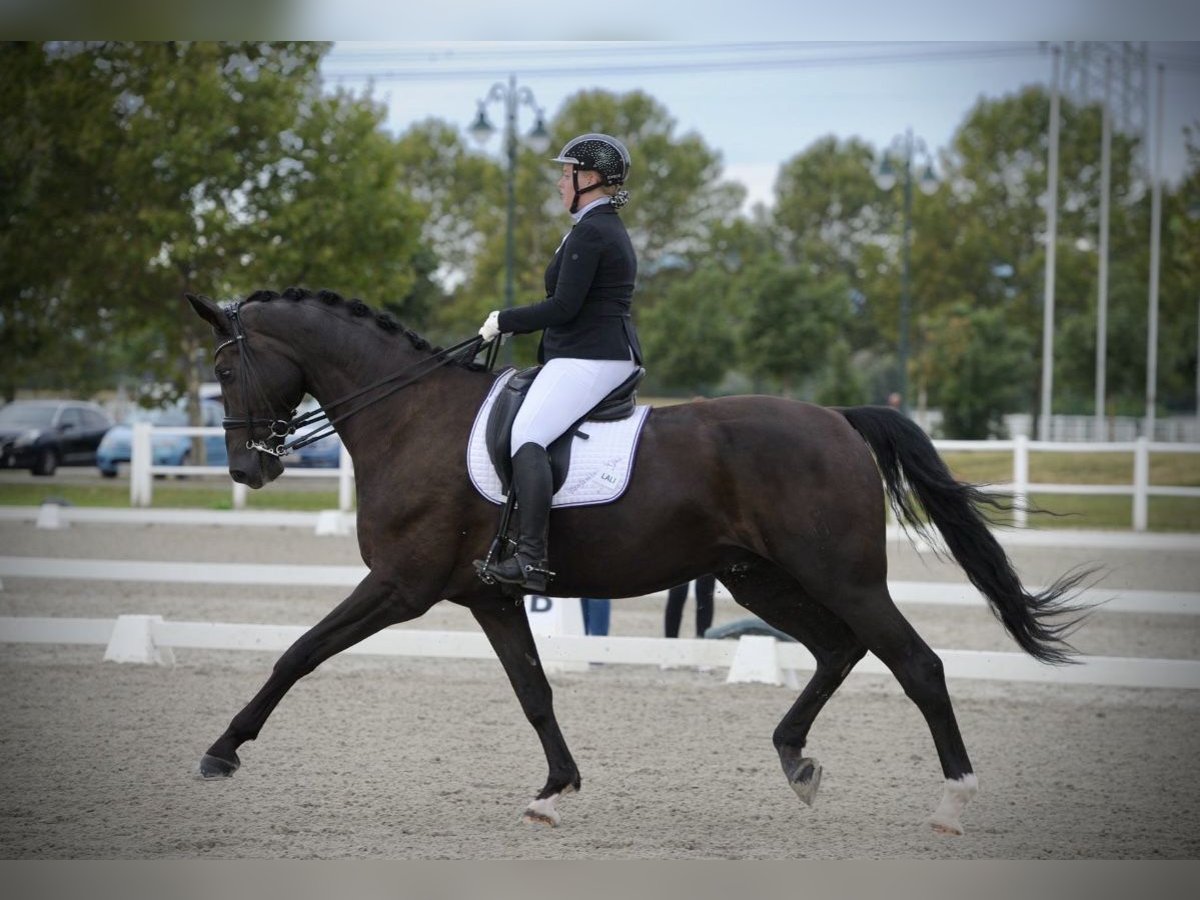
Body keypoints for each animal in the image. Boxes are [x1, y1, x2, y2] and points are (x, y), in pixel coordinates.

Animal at [184, 289, 1089, 840]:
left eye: (225, 368)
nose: (247, 471)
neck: (407, 417)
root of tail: (837, 417)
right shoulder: (488, 599)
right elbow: (535, 692)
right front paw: (554, 793)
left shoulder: (401, 587)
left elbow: (299, 652)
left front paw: (222, 751)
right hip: (759, 577)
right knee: (840, 650)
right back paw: (795, 760)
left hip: (843, 576)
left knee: (916, 663)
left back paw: (952, 802)